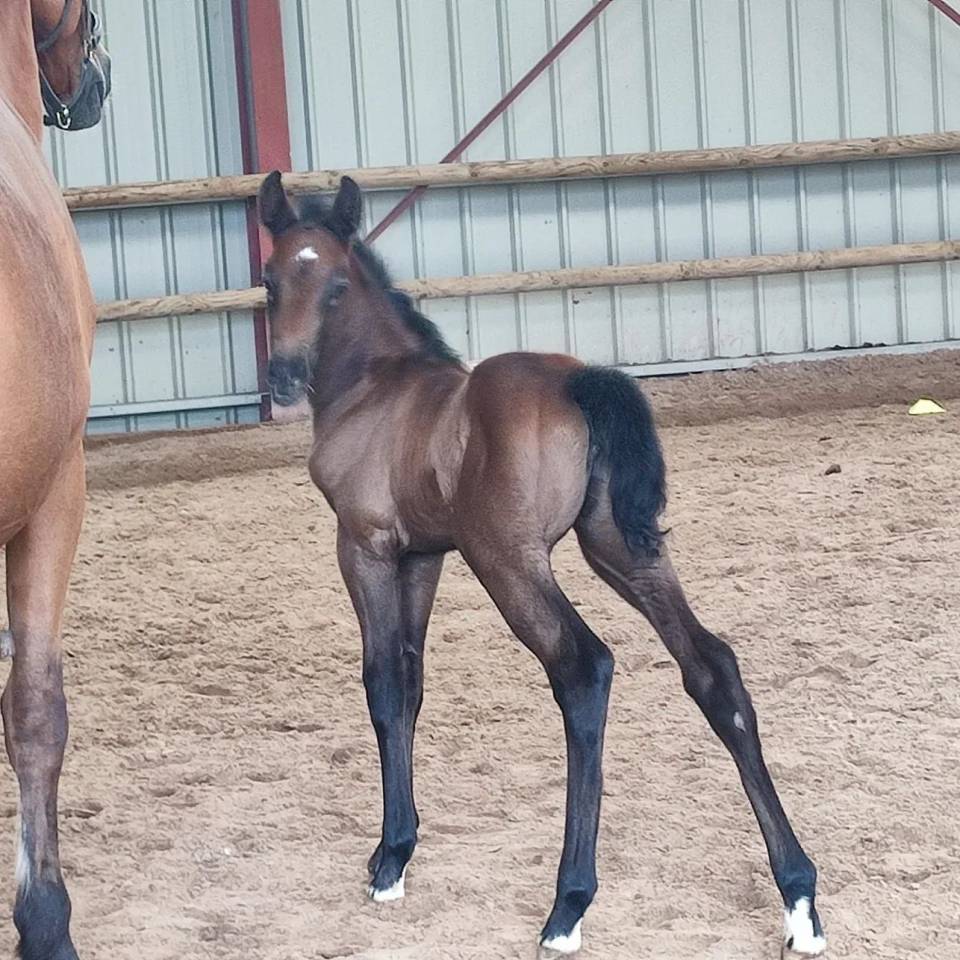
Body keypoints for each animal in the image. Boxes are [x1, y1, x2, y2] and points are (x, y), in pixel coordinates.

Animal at [257, 171, 826, 956]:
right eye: (271, 280)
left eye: (337, 286)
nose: (283, 376)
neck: (377, 388)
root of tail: (579, 381)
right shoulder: (423, 556)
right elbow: (410, 682)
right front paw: (394, 847)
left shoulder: (364, 545)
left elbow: (381, 683)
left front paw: (391, 861)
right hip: (621, 549)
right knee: (712, 667)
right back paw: (798, 897)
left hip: (510, 562)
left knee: (584, 669)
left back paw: (568, 906)